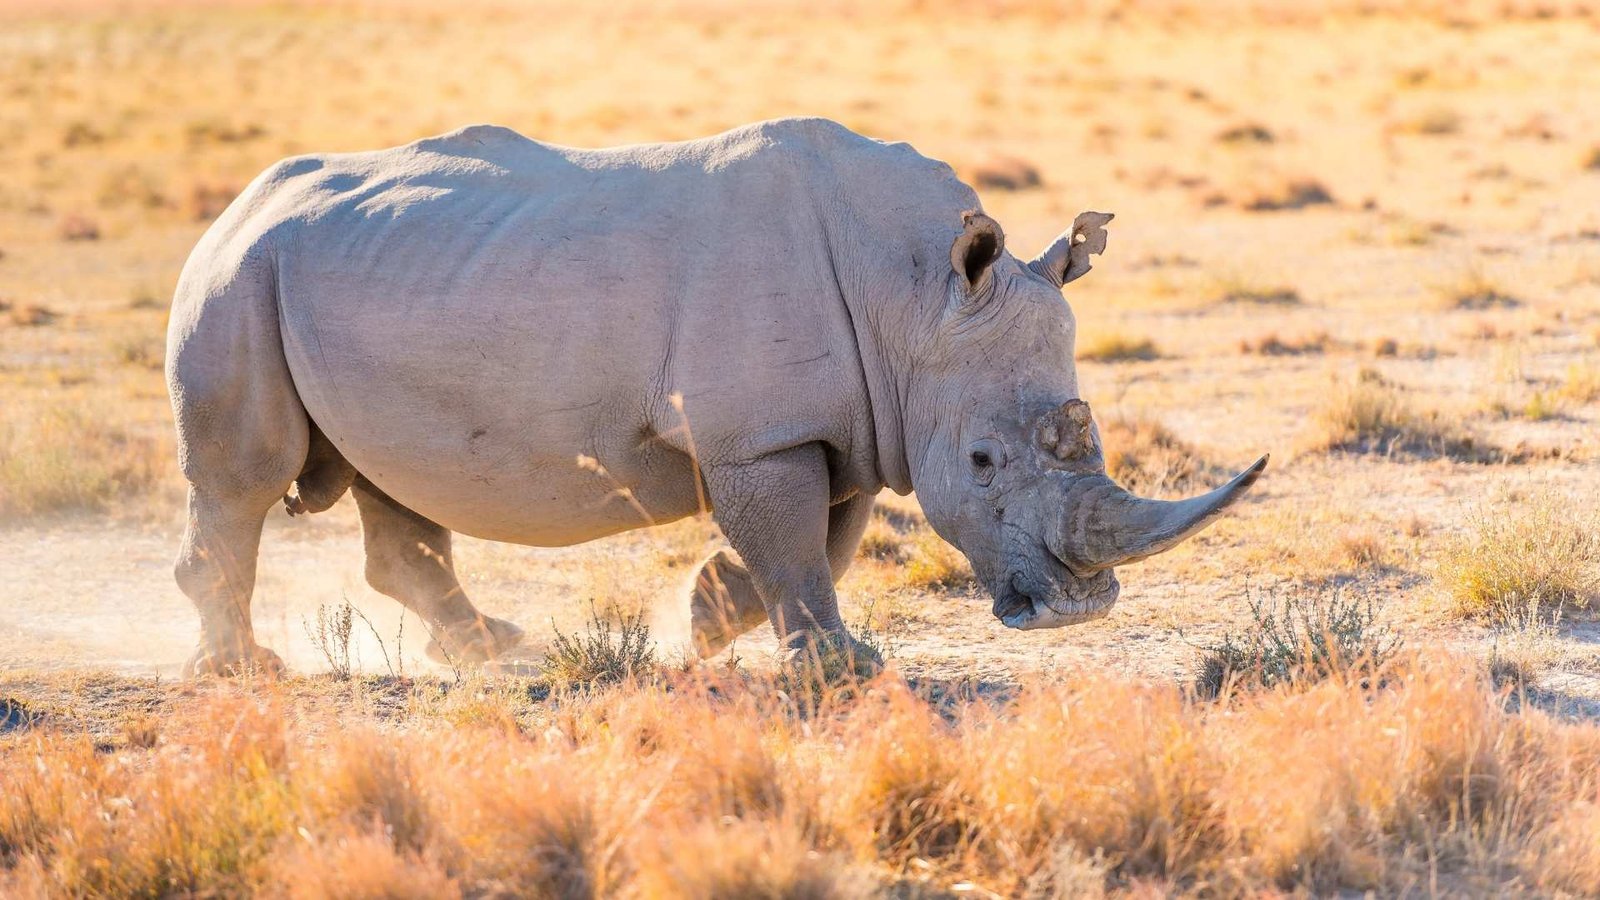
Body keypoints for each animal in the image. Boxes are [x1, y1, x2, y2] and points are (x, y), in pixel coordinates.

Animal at [166, 117, 1265, 676]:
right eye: (984, 462)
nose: (1075, 612)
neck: (916, 298)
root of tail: (238, 204)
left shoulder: (839, 424)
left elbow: (820, 541)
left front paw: (703, 624)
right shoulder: (762, 434)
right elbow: (795, 544)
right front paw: (843, 671)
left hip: (344, 279)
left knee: (393, 482)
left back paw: (491, 650)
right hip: (238, 278)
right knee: (245, 480)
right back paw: (243, 674)